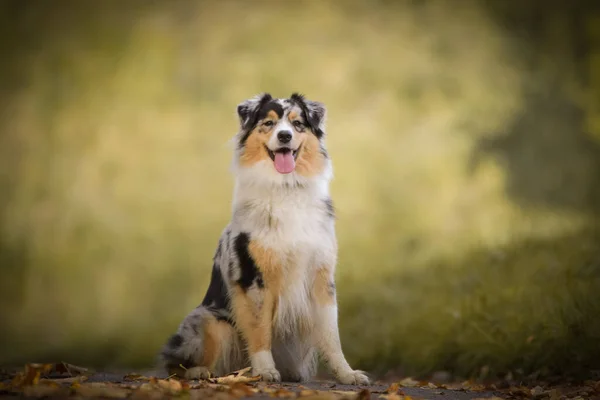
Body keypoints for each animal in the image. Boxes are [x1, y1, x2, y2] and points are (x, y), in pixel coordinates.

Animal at [158, 93, 370, 384]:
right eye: (268, 123)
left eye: (298, 123)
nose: (284, 136)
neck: (286, 188)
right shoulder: (254, 277)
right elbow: (260, 331)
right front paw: (266, 370)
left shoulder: (321, 276)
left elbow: (331, 335)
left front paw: (347, 374)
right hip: (210, 321)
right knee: (175, 364)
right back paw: (203, 372)